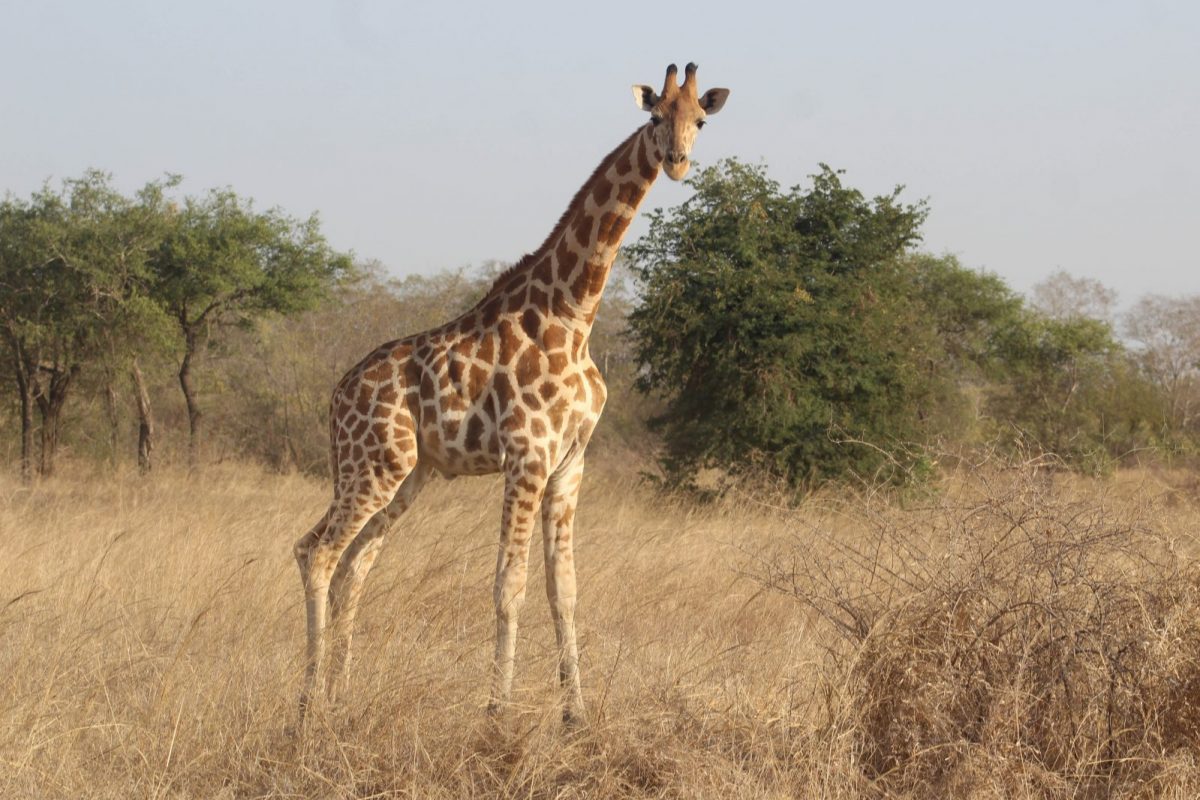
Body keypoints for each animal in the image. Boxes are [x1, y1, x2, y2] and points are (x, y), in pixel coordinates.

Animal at [297, 62, 729, 724]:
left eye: (700, 120)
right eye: (656, 116)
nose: (678, 161)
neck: (577, 314)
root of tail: (336, 396)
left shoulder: (570, 464)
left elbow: (564, 590)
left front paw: (576, 713)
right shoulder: (526, 457)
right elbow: (509, 585)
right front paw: (497, 711)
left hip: (408, 473)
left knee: (355, 564)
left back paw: (342, 696)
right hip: (371, 464)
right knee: (316, 552)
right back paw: (309, 703)